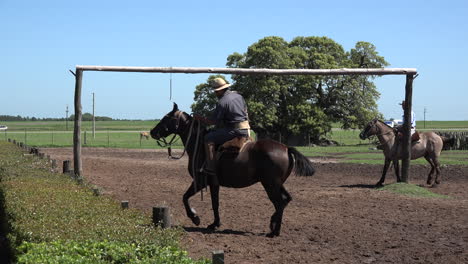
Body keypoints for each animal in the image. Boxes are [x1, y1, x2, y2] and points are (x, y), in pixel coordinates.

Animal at [152, 103, 316, 237]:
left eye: (166, 117)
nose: (153, 132)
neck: (199, 145)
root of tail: (286, 148)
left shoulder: (200, 182)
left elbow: (185, 197)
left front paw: (195, 218)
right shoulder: (214, 184)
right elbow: (215, 203)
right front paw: (214, 224)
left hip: (270, 184)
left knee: (280, 203)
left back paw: (274, 231)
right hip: (277, 184)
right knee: (286, 199)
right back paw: (273, 223)